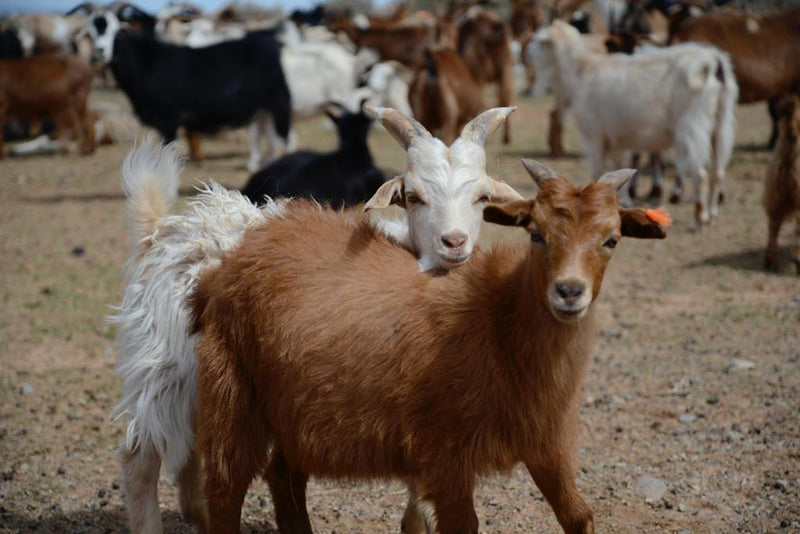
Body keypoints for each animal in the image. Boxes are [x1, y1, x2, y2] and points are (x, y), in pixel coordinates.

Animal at [189, 160, 669, 534]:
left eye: (612, 239)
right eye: (536, 233)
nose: (569, 292)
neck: (495, 321)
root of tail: (228, 262)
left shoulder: (546, 443)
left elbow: (579, 516)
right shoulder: (443, 455)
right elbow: (464, 524)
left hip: (293, 411)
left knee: (284, 478)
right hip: (233, 393)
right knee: (226, 487)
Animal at [533, 21, 737, 228]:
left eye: (539, 40)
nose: (527, 55)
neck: (582, 71)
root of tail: (712, 61)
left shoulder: (595, 136)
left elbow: (597, 172)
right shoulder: (615, 139)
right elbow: (616, 171)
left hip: (693, 126)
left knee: (701, 174)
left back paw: (698, 220)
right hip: (721, 124)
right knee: (717, 170)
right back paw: (711, 214)